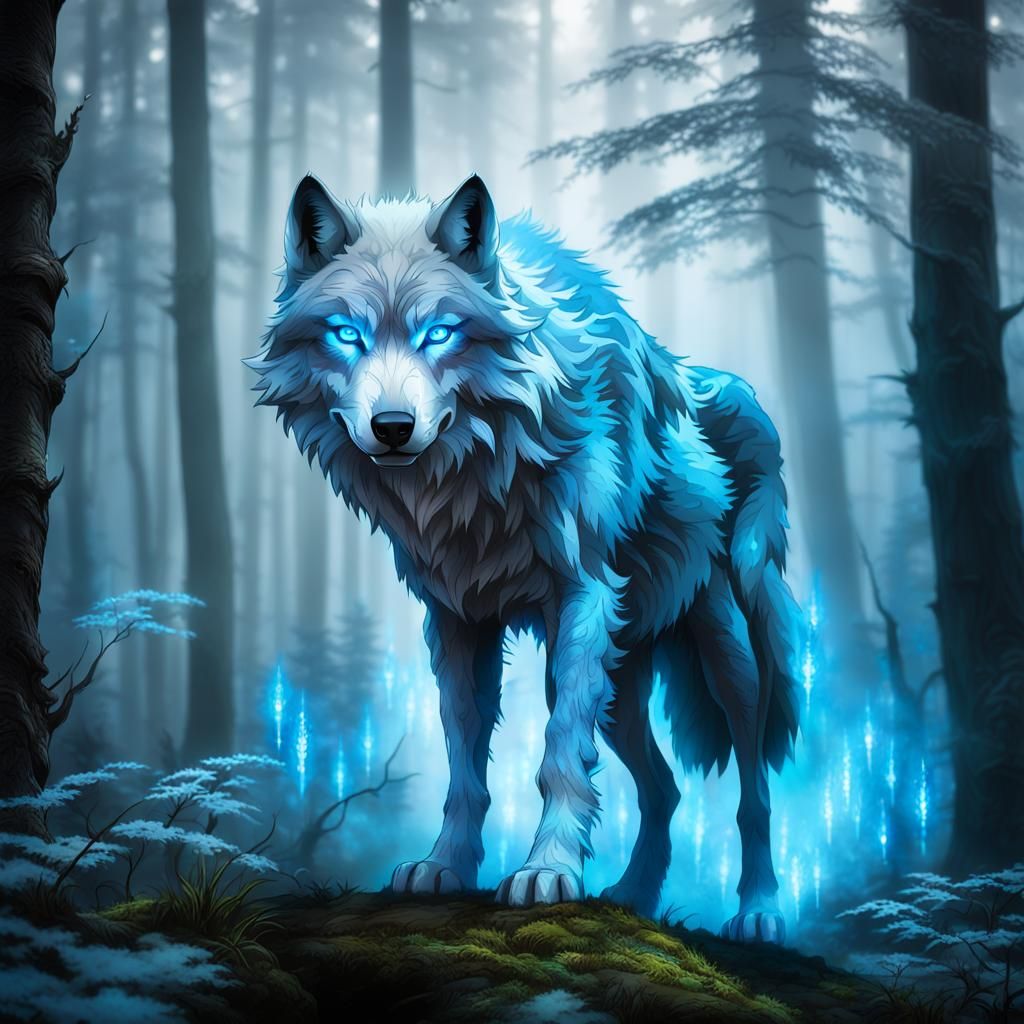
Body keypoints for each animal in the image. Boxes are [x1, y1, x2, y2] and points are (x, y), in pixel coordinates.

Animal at [247, 174, 801, 942]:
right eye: (346, 335)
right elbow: (463, 760)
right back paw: (632, 894)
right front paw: (445, 865)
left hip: (725, 650)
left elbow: (559, 753)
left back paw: (759, 910)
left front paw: (547, 872)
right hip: (616, 680)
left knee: (754, 787)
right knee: (663, 788)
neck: (479, 475)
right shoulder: (455, 618)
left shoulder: (584, 596)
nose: (393, 428)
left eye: (439, 333)